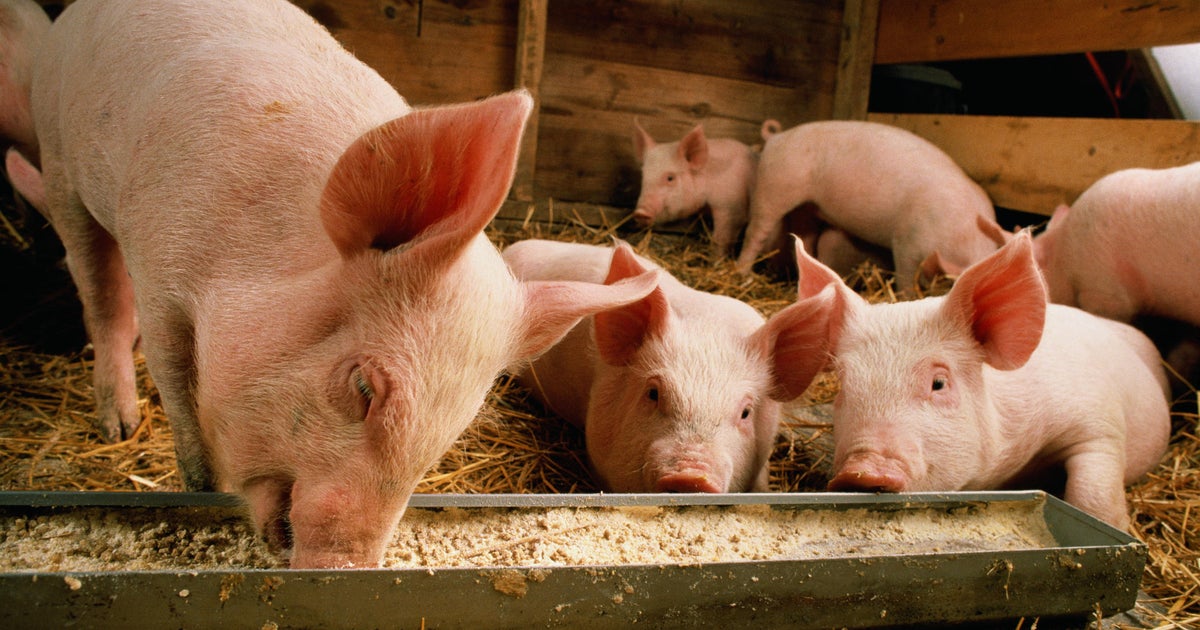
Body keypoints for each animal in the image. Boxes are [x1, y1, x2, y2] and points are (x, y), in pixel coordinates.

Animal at [19, 0, 659, 568]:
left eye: (453, 426)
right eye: (364, 387)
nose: (345, 565)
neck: (244, 258)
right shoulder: (160, 268)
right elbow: (177, 385)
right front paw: (197, 488)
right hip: (58, 158)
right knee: (100, 288)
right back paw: (119, 425)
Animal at [631, 120, 757, 257]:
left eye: (670, 178)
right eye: (643, 175)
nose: (640, 212)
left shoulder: (731, 209)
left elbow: (721, 239)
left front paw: (715, 259)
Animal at [735, 120, 1007, 288]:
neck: (964, 234)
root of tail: (777, 137)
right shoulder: (906, 243)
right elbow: (906, 281)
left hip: (807, 206)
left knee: (805, 239)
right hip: (773, 187)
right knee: (756, 232)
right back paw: (743, 273)